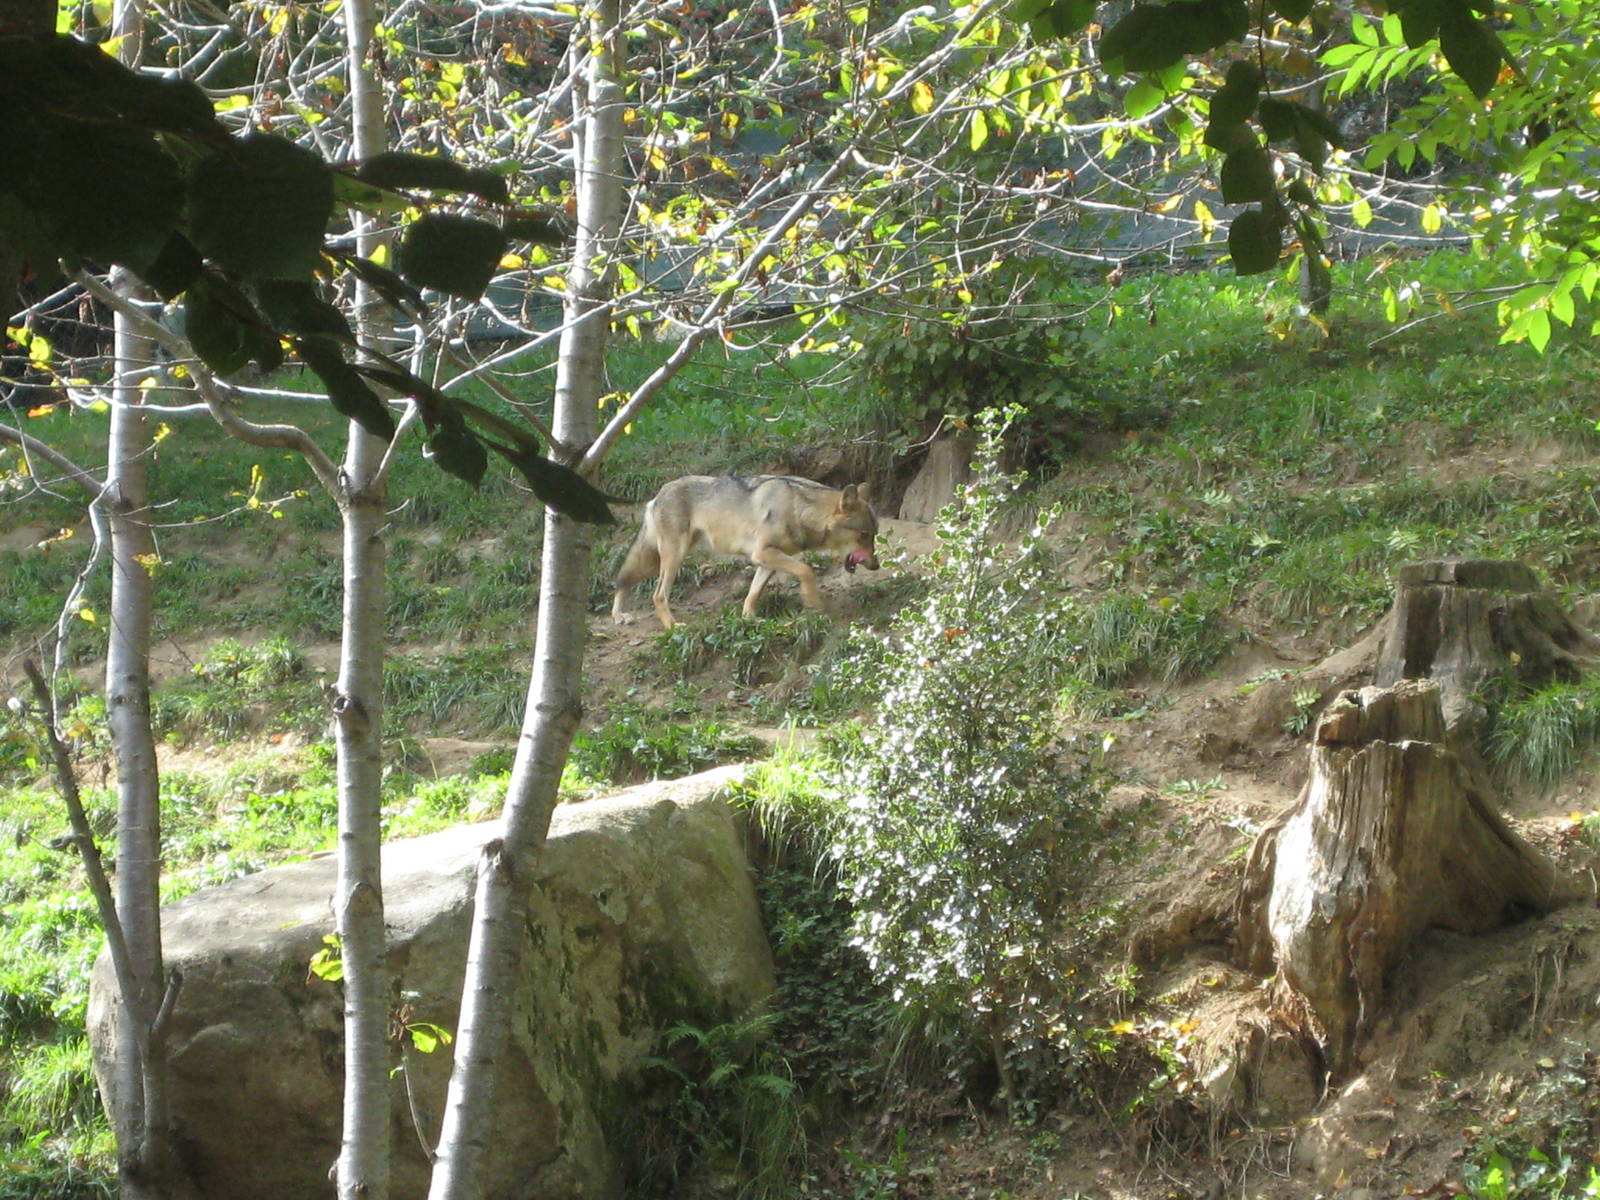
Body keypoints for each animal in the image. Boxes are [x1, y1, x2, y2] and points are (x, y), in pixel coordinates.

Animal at [611, 474, 881, 630]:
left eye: (874, 535)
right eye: (863, 535)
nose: (876, 565)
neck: (799, 509)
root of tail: (657, 495)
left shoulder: (766, 561)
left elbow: (753, 594)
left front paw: (749, 620)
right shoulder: (763, 553)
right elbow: (806, 570)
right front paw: (814, 604)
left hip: (658, 560)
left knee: (623, 582)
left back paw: (619, 616)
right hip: (672, 559)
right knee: (656, 595)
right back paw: (673, 626)